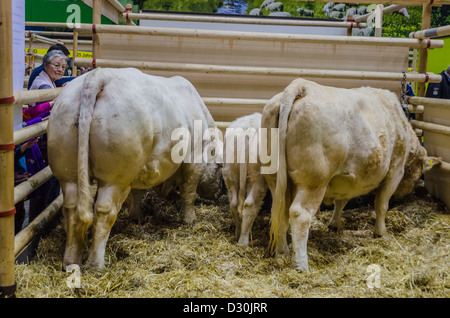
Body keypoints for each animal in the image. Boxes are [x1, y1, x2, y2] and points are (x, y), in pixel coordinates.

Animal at [48, 67, 217, 268]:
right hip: (114, 177)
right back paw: (96, 263)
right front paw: (190, 219)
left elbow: (137, 193)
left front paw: (137, 217)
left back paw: (70, 260)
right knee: (104, 212)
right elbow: (189, 191)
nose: (218, 193)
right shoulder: (195, 157)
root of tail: (99, 76)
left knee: (72, 209)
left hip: (68, 171)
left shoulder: (141, 168)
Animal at [221, 113, 268, 245]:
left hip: (230, 173)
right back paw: (243, 240)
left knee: (234, 203)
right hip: (258, 179)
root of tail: (249, 128)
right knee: (249, 205)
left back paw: (238, 234)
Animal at [262, 78, 442, 272]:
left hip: (276, 179)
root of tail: (303, 85)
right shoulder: (395, 170)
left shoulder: (346, 181)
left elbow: (341, 202)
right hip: (314, 181)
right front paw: (381, 232)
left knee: (281, 211)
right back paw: (302, 265)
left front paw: (334, 225)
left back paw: (282, 252)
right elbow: (381, 205)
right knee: (299, 215)